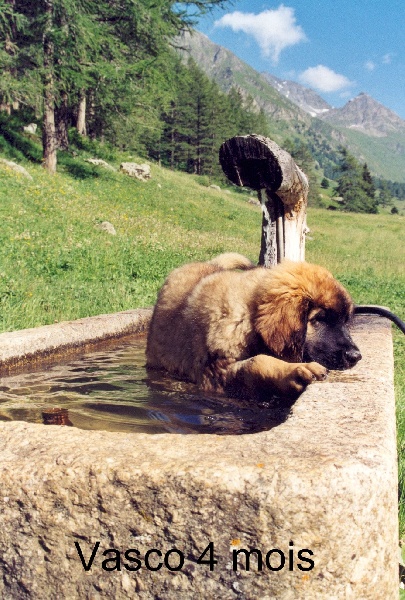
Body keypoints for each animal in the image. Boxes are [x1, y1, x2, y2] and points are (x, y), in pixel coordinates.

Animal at [145, 253, 360, 398]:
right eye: (319, 319)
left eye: (344, 321)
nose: (356, 356)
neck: (249, 317)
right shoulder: (216, 372)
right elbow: (258, 361)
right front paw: (296, 370)